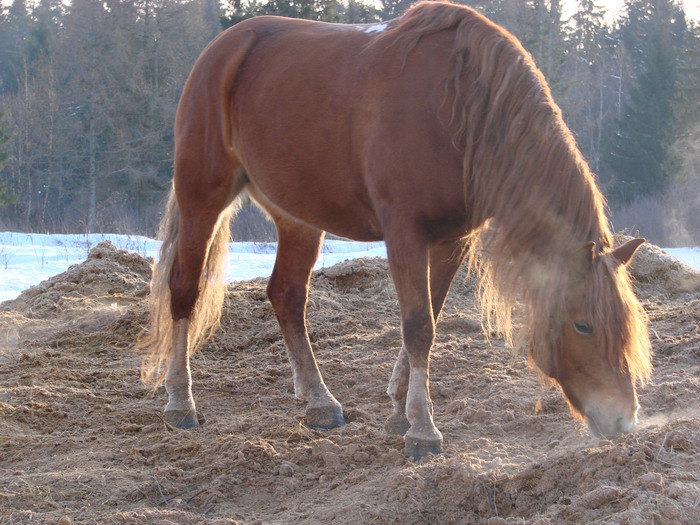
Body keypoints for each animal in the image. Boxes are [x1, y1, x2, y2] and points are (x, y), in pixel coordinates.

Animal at [137, 1, 652, 458]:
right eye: (583, 324)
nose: (623, 420)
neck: (462, 106)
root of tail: (222, 49)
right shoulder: (404, 232)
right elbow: (418, 325)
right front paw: (422, 430)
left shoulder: (450, 239)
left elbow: (431, 317)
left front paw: (400, 409)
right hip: (203, 198)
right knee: (184, 289)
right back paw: (180, 402)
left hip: (298, 218)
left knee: (286, 295)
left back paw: (318, 400)